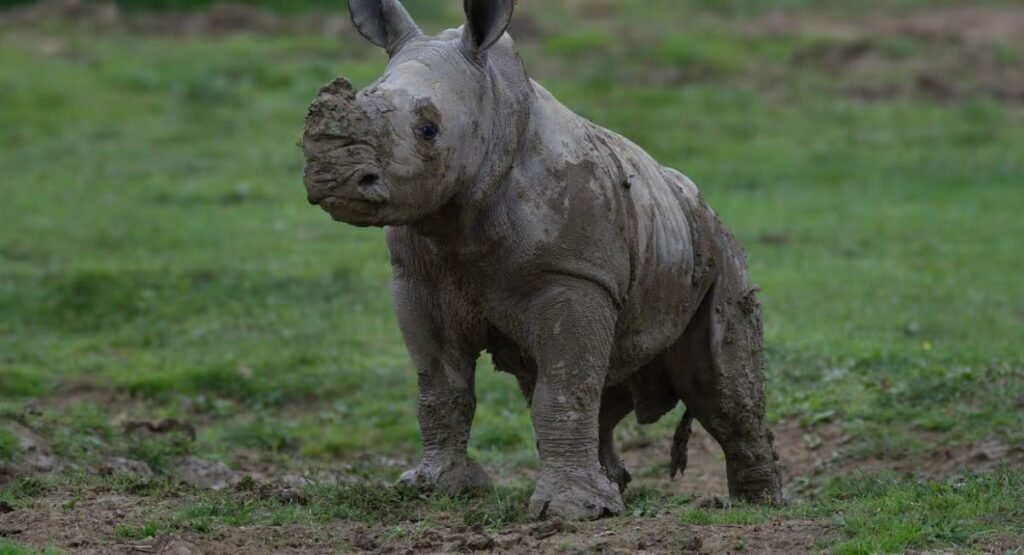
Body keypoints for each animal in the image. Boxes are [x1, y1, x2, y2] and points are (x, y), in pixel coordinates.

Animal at [302, 0, 783, 520]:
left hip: (719, 250)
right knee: (604, 382)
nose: (333, 177)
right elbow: (443, 387)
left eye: (429, 130)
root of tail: (704, 205)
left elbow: (564, 387)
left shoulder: (573, 275)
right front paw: (435, 487)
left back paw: (757, 507)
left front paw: (570, 512)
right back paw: (613, 490)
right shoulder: (416, 281)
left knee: (718, 386)